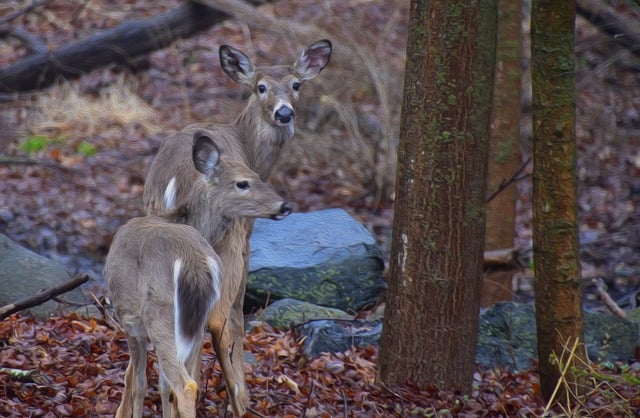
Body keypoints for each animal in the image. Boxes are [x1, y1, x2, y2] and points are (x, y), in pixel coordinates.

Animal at [107, 132, 292, 416]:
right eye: (243, 182)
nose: (284, 205)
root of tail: (193, 263)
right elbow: (160, 385)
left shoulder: (130, 321)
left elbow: (140, 382)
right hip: (194, 319)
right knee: (185, 379)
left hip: (159, 313)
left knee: (183, 384)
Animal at [143, 40, 332, 414]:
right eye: (260, 87)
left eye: (296, 84)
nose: (284, 113)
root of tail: (174, 182)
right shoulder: (245, 237)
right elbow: (237, 320)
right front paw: (238, 397)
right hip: (226, 242)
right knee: (217, 321)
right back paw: (239, 403)